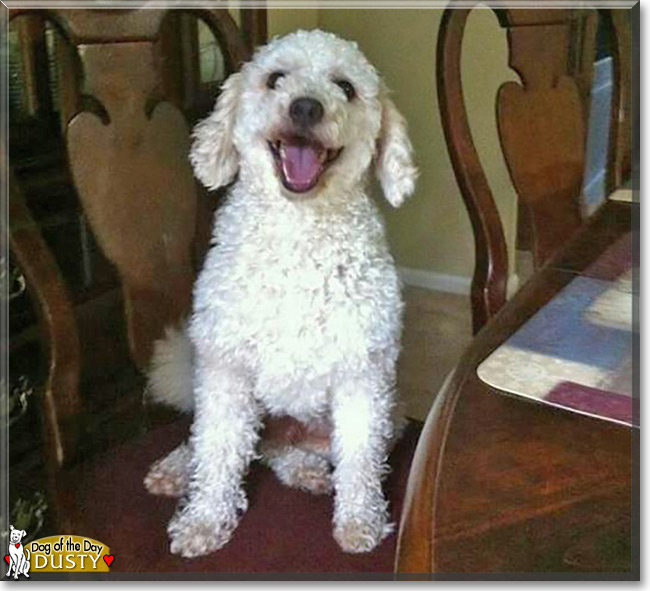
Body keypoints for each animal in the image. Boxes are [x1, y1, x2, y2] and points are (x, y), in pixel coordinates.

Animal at [142, 30, 416, 560]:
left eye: (346, 87)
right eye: (275, 79)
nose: (306, 107)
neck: (298, 231)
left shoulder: (363, 376)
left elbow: (359, 461)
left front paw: (360, 522)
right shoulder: (225, 368)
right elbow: (217, 451)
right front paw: (204, 521)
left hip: (385, 414)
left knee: (275, 450)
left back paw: (306, 470)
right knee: (220, 441)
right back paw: (174, 469)